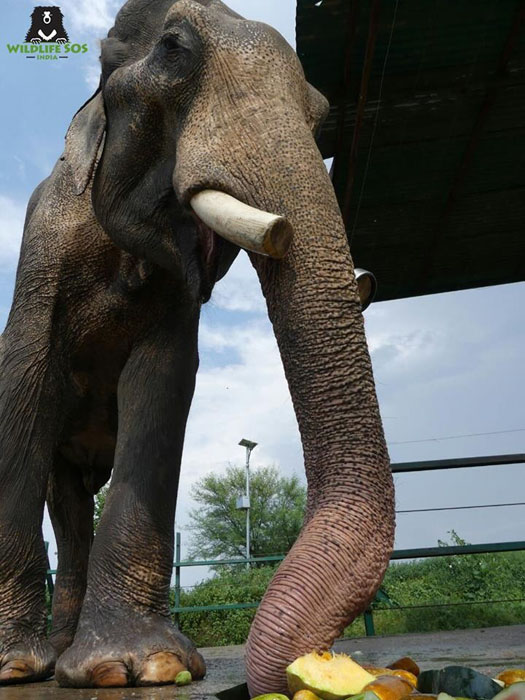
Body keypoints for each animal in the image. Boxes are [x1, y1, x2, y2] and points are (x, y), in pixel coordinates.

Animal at [0, 0, 392, 692]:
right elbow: (24, 375)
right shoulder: (41, 243)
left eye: (321, 114)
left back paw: (69, 657)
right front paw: (19, 665)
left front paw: (143, 668)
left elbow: (163, 381)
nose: (310, 663)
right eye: (175, 51)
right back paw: (43, 661)